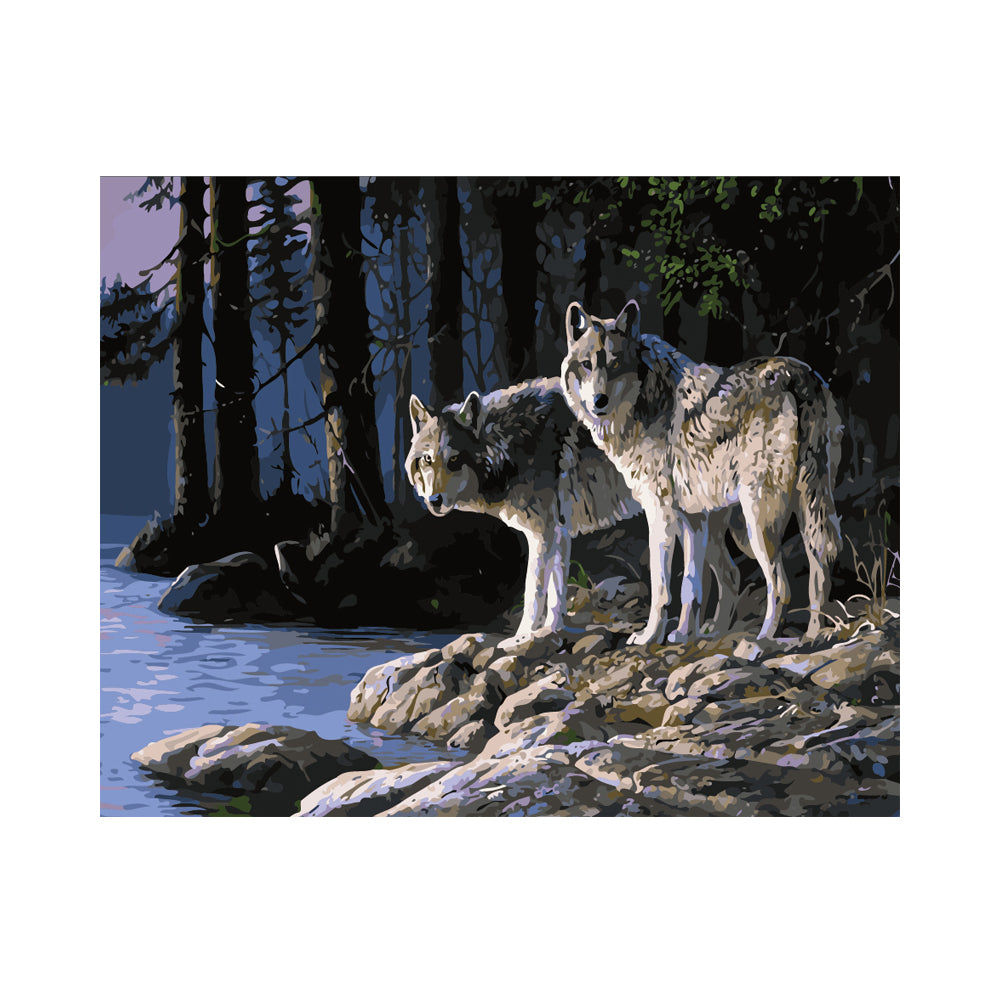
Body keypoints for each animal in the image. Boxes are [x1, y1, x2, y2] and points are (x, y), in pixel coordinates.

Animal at [407, 378, 742, 650]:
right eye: (427, 460)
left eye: (454, 460)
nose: (434, 500)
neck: (506, 444)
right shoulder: (558, 532)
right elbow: (556, 592)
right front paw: (549, 632)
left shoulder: (541, 532)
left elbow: (533, 591)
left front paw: (521, 638)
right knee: (726, 574)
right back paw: (708, 633)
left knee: (696, 579)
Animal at [561, 300, 843, 645]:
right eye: (587, 364)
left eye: (614, 365)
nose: (599, 401)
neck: (647, 400)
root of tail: (797, 374)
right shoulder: (692, 517)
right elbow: (691, 586)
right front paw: (683, 635)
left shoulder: (660, 513)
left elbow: (662, 586)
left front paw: (649, 636)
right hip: (796, 509)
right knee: (812, 568)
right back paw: (807, 636)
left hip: (757, 518)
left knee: (780, 585)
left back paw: (762, 639)